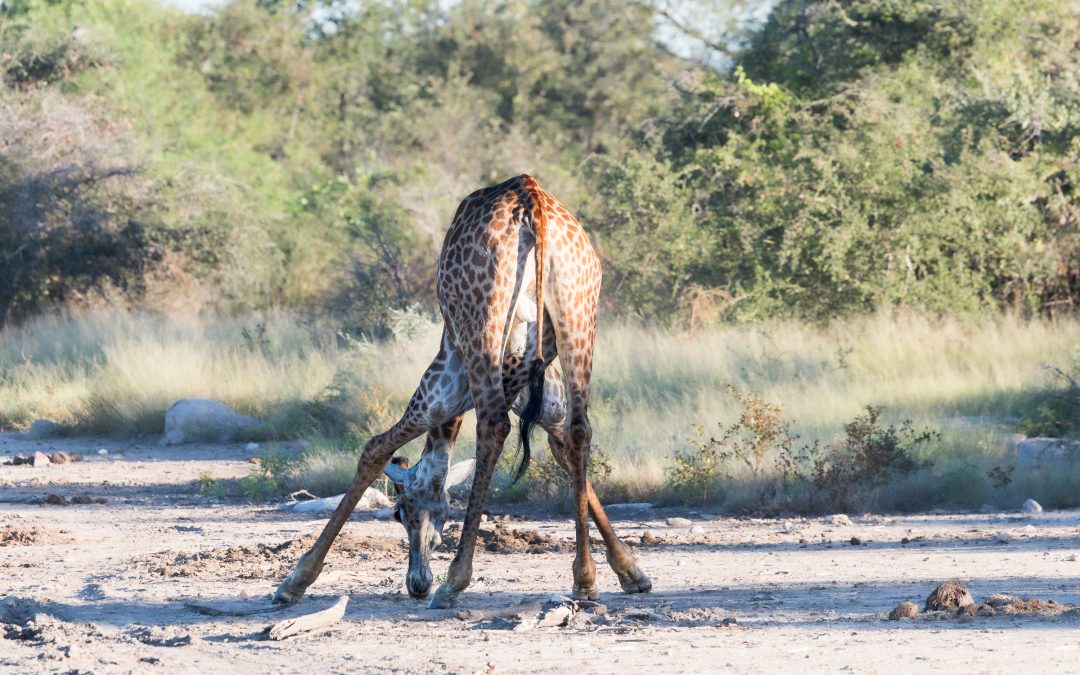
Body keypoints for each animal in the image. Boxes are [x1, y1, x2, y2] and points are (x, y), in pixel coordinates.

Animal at [273, 174, 651, 608]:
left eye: (400, 512)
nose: (417, 584)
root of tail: (533, 202)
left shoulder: (444, 385)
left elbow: (375, 448)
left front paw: (296, 579)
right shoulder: (540, 397)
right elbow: (566, 450)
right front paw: (629, 571)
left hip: (482, 326)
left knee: (493, 426)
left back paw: (454, 580)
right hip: (579, 314)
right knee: (580, 428)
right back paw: (583, 580)